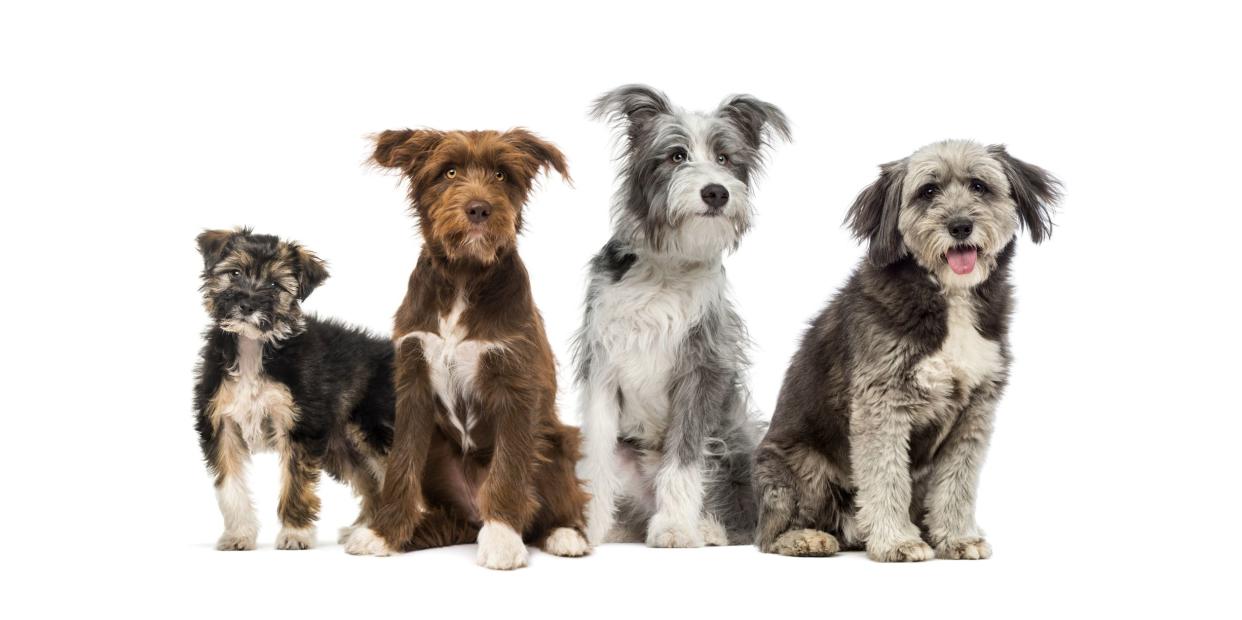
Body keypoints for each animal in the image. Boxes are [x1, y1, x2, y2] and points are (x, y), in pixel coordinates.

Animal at [193, 231, 392, 551]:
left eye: (275, 285)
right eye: (234, 273)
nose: (247, 305)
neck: (253, 346)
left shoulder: (299, 425)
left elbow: (296, 483)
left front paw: (295, 533)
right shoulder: (220, 422)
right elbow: (230, 487)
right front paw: (239, 535)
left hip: (372, 429)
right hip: (340, 445)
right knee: (371, 482)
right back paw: (365, 528)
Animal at [342, 128, 588, 569]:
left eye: (502, 174)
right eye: (449, 171)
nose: (479, 209)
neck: (463, 275)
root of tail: (472, 518)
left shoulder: (516, 384)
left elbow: (508, 467)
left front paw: (504, 539)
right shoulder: (413, 382)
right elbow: (400, 467)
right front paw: (383, 533)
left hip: (557, 440)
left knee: (560, 501)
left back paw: (564, 534)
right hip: (438, 456)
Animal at [568, 85, 784, 546]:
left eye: (724, 158)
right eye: (676, 155)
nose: (716, 192)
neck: (667, 268)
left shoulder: (700, 370)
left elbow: (684, 457)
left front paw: (674, 526)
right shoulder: (602, 367)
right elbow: (596, 457)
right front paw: (585, 527)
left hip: (738, 446)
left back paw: (706, 527)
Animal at [750, 139, 1063, 564]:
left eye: (979, 186)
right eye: (927, 191)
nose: (960, 226)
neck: (948, 297)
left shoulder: (975, 411)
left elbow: (958, 483)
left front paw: (957, 537)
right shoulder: (881, 402)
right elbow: (885, 477)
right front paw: (896, 541)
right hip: (802, 466)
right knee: (768, 534)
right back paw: (804, 538)